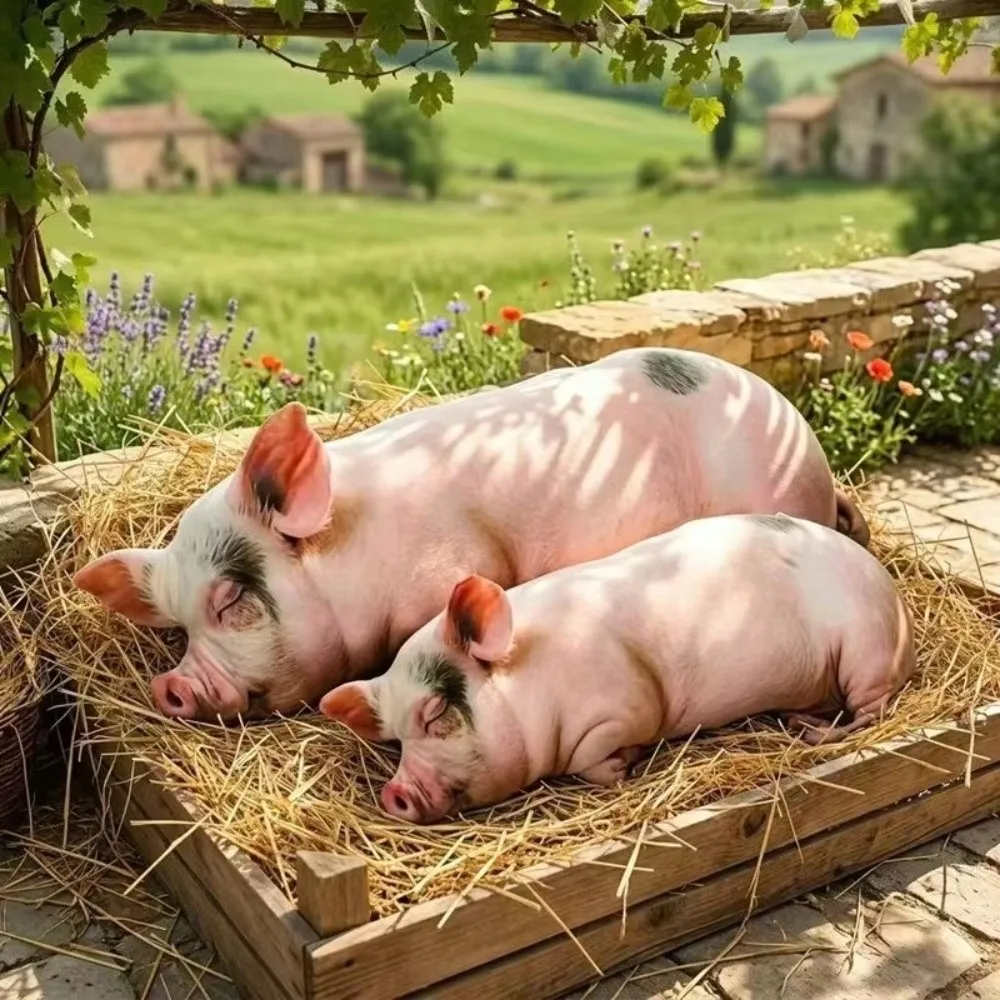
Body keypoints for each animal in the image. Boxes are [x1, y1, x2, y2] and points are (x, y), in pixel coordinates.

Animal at [320, 513, 915, 824]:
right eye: (395, 740)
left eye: (437, 712)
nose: (394, 792)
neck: (536, 683)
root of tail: (896, 600)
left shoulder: (626, 705)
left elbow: (596, 759)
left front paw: (627, 768)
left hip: (865, 650)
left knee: (874, 710)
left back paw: (811, 732)